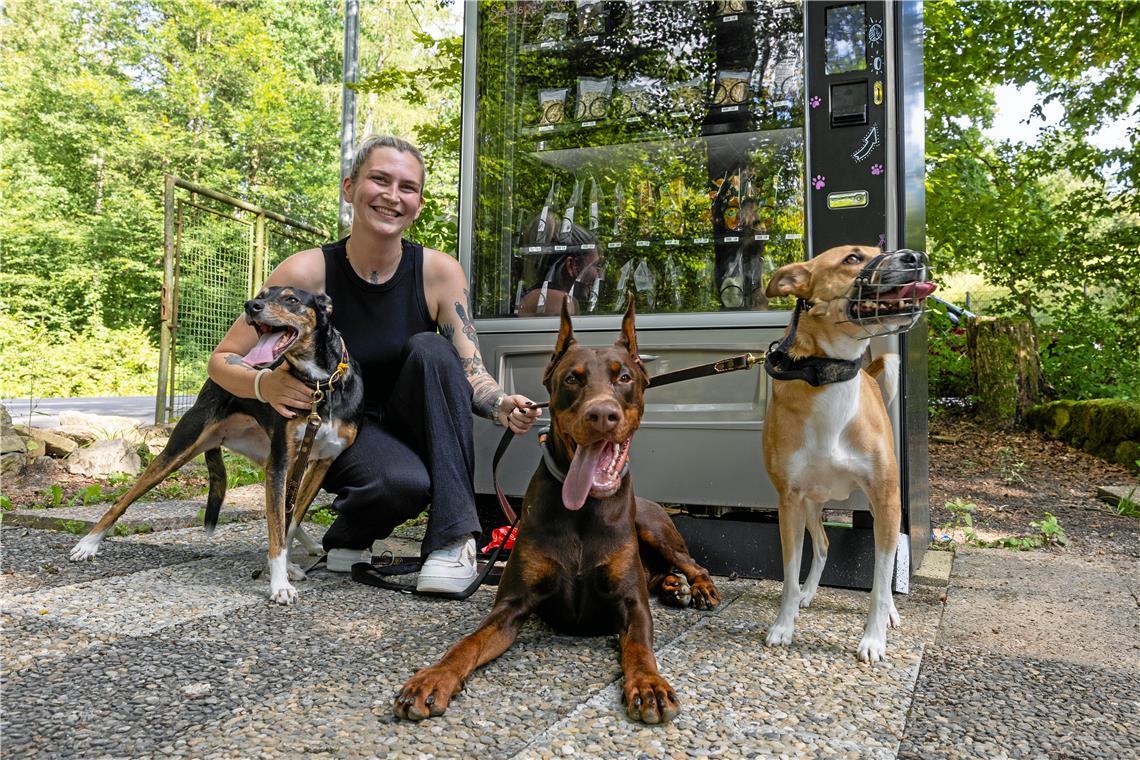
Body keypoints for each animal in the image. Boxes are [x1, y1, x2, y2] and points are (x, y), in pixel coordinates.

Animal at [68, 284, 360, 606]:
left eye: (291, 299)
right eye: (261, 295)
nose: (250, 306)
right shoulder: (282, 462)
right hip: (180, 449)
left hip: (266, 463)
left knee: (285, 512)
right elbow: (278, 531)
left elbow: (289, 521)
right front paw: (280, 583)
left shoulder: (320, 463)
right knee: (123, 500)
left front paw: (286, 567)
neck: (320, 386)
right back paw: (88, 543)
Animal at [392, 298, 711, 724]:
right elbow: (468, 642)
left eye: (625, 377)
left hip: (653, 528)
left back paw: (699, 588)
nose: (602, 415)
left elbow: (641, 648)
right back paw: (674, 588)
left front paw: (649, 685)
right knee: (662, 573)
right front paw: (434, 677)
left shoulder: (633, 606)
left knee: (691, 563)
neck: (584, 509)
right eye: (573, 379)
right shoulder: (510, 607)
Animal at [756, 247, 934, 660]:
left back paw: (890, 614)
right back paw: (806, 594)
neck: (827, 381)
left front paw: (873, 640)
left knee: (881, 566)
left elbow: (880, 579)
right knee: (821, 545)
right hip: (811, 503)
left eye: (877, 250)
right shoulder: (789, 501)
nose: (915, 256)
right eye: (852, 258)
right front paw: (784, 625)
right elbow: (788, 574)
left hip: (877, 503)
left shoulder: (885, 498)